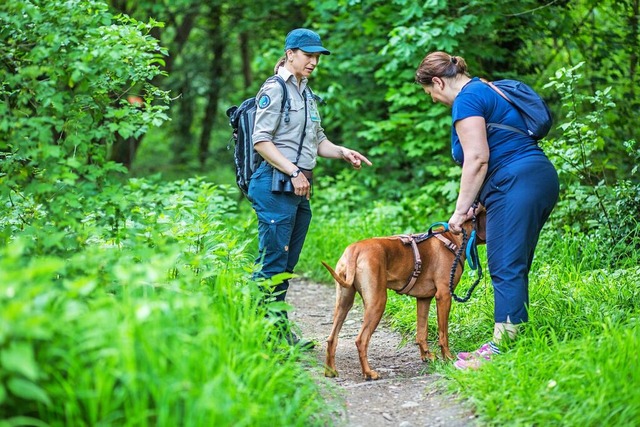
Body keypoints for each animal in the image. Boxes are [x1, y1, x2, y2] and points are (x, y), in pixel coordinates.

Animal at [322, 209, 482, 380]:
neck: (452, 239)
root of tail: (354, 250)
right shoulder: (444, 296)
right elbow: (443, 334)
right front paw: (448, 358)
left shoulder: (424, 299)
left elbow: (421, 332)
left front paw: (427, 356)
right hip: (377, 302)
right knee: (361, 340)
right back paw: (368, 373)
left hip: (344, 302)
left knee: (331, 338)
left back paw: (330, 371)